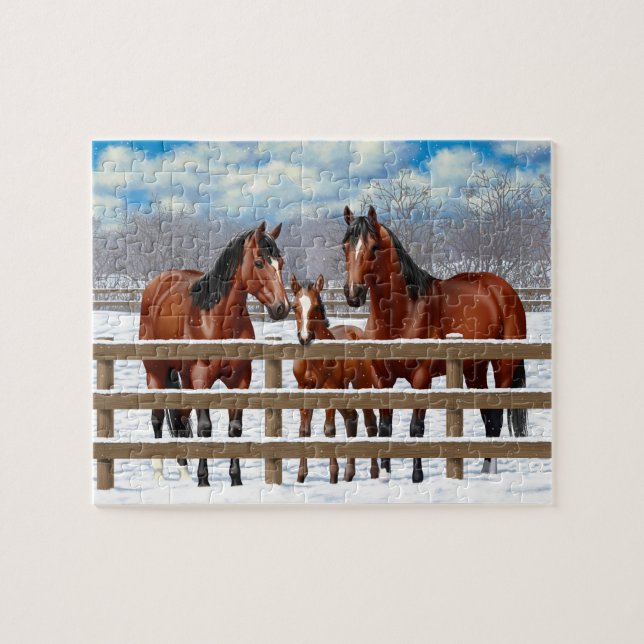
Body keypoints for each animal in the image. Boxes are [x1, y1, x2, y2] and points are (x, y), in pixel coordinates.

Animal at [138, 222, 290, 486]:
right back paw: (159, 473)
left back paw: (183, 471)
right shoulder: (202, 380)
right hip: (156, 372)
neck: (216, 319)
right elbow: (205, 428)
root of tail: (156, 285)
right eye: (259, 262)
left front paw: (236, 480)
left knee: (179, 418)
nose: (282, 307)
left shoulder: (240, 380)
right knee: (158, 417)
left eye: (280, 262)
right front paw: (203, 480)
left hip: (183, 376)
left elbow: (235, 428)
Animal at [291, 274, 380, 484]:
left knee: (370, 422)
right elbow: (304, 430)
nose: (305, 337)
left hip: (361, 384)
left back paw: (373, 473)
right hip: (342, 388)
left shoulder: (329, 389)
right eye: (294, 306)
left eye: (316, 307)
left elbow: (329, 430)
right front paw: (301, 475)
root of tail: (358, 332)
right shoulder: (303, 388)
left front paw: (333, 476)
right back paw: (349, 474)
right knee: (351, 418)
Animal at [343, 206, 528, 482]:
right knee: (488, 417)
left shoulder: (422, 379)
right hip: (474, 369)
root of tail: (504, 289)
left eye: (374, 247)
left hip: (504, 366)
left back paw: (490, 474)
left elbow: (416, 428)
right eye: (345, 245)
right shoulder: (382, 378)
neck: (403, 313)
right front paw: (385, 475)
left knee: (495, 417)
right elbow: (385, 428)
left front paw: (417, 477)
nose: (353, 293)